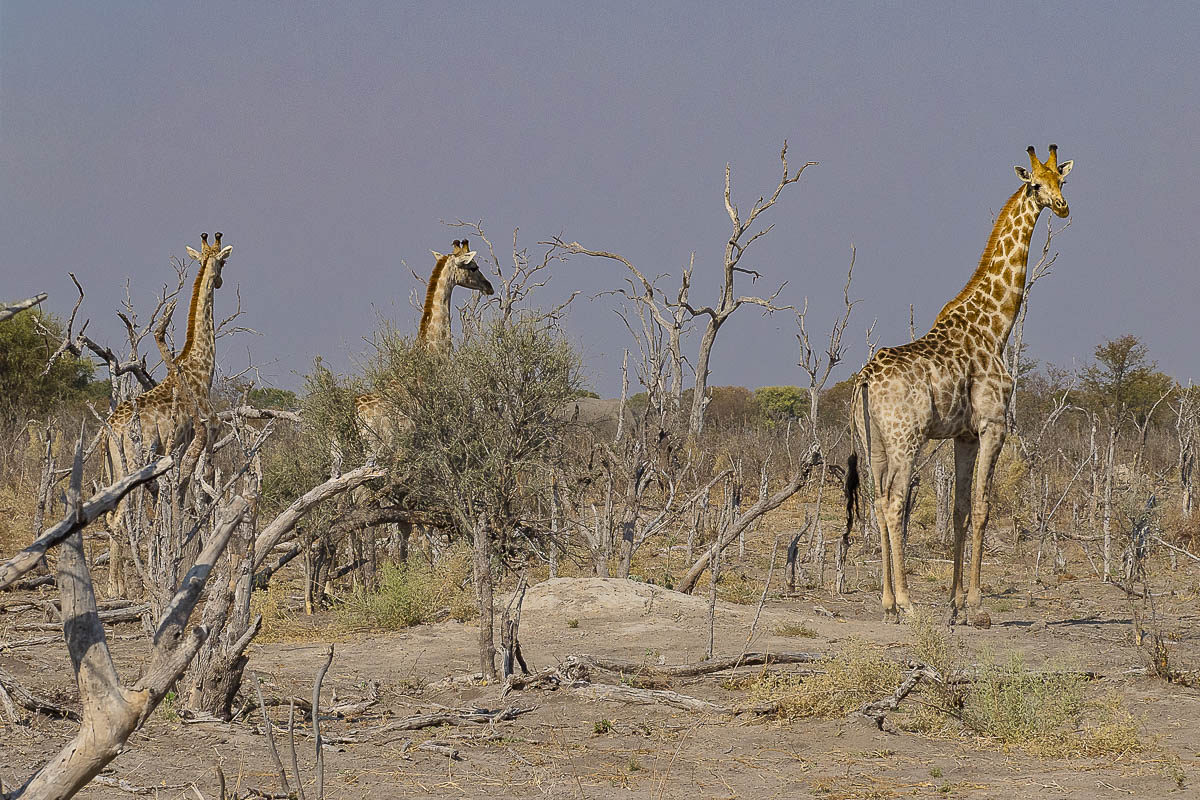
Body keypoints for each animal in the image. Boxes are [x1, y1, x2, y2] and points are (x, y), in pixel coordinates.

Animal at [102, 232, 233, 594]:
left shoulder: (180, 449)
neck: (200, 368)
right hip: (131, 465)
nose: (220, 281)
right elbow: (197, 495)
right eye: (224, 262)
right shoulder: (205, 436)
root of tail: (108, 431)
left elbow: (183, 498)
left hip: (114, 468)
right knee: (119, 517)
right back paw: (116, 588)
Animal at [846, 146, 1073, 623]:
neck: (995, 326)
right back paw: (907, 603)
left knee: (876, 500)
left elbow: (960, 509)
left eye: (1061, 181)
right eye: (1035, 185)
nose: (1062, 207)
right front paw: (976, 605)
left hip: (873, 440)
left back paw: (887, 603)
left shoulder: (964, 434)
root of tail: (864, 380)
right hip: (906, 438)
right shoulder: (993, 425)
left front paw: (953, 604)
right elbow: (985, 507)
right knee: (895, 503)